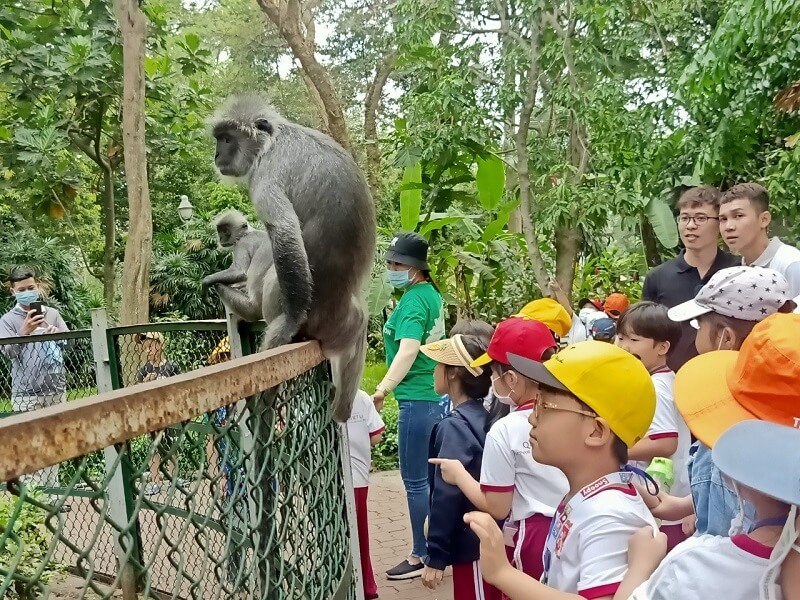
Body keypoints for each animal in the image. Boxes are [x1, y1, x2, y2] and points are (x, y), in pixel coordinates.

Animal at [209, 95, 378, 422]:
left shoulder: (266, 174)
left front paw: (284, 327)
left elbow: (285, 228)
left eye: (227, 139)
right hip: (354, 319)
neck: (275, 138)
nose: (216, 153)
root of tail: (336, 317)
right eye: (219, 139)